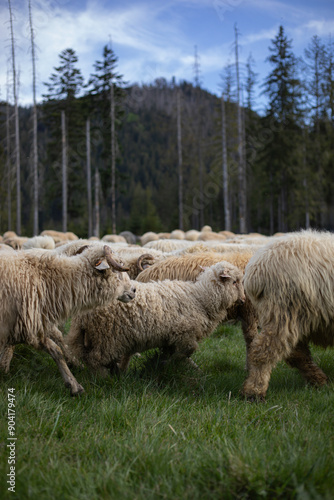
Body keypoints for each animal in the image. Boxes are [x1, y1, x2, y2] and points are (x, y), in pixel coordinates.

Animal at [0, 243, 136, 394]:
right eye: (117, 270)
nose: (134, 290)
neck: (47, 281)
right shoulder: (23, 325)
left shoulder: (29, 324)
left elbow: (56, 350)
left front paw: (73, 384)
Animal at [67, 262, 245, 376]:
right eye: (234, 282)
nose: (243, 300)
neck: (201, 298)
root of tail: (82, 315)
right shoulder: (185, 334)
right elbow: (188, 351)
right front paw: (172, 363)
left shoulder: (171, 338)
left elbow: (172, 354)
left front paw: (165, 364)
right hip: (107, 336)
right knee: (94, 359)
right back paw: (103, 378)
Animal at [241, 229, 334, 400]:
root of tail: (255, 270)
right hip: (284, 313)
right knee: (262, 351)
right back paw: (254, 391)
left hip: (292, 317)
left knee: (297, 354)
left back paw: (319, 380)